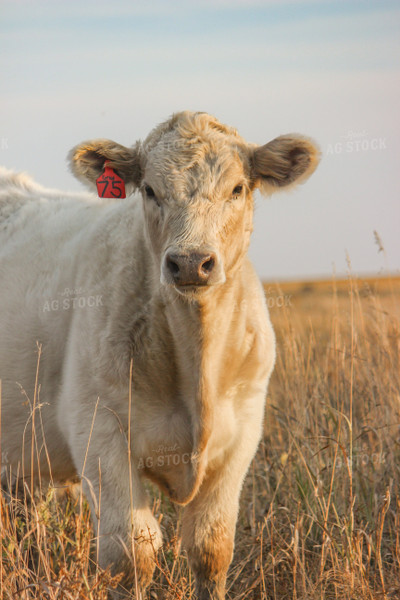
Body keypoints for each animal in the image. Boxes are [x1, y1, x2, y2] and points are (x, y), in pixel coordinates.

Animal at [0, 113, 318, 600]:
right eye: (149, 189)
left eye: (237, 188)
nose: (189, 262)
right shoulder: (99, 429)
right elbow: (132, 552)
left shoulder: (243, 431)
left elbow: (211, 547)